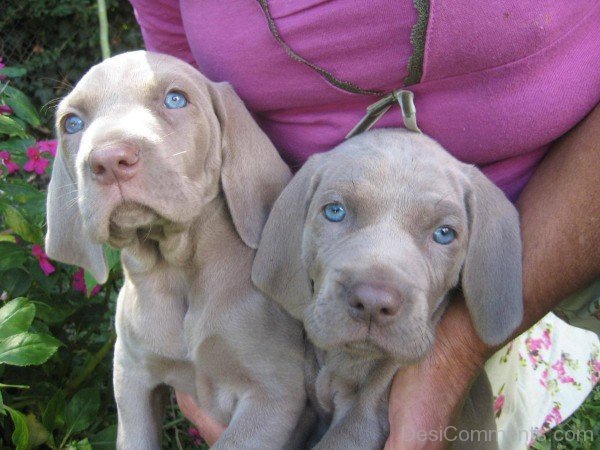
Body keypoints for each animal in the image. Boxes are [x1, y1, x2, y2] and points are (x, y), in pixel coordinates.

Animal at [44, 51, 304, 448]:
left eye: (176, 99)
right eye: (71, 123)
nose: (109, 160)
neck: (177, 268)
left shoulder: (275, 393)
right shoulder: (131, 374)